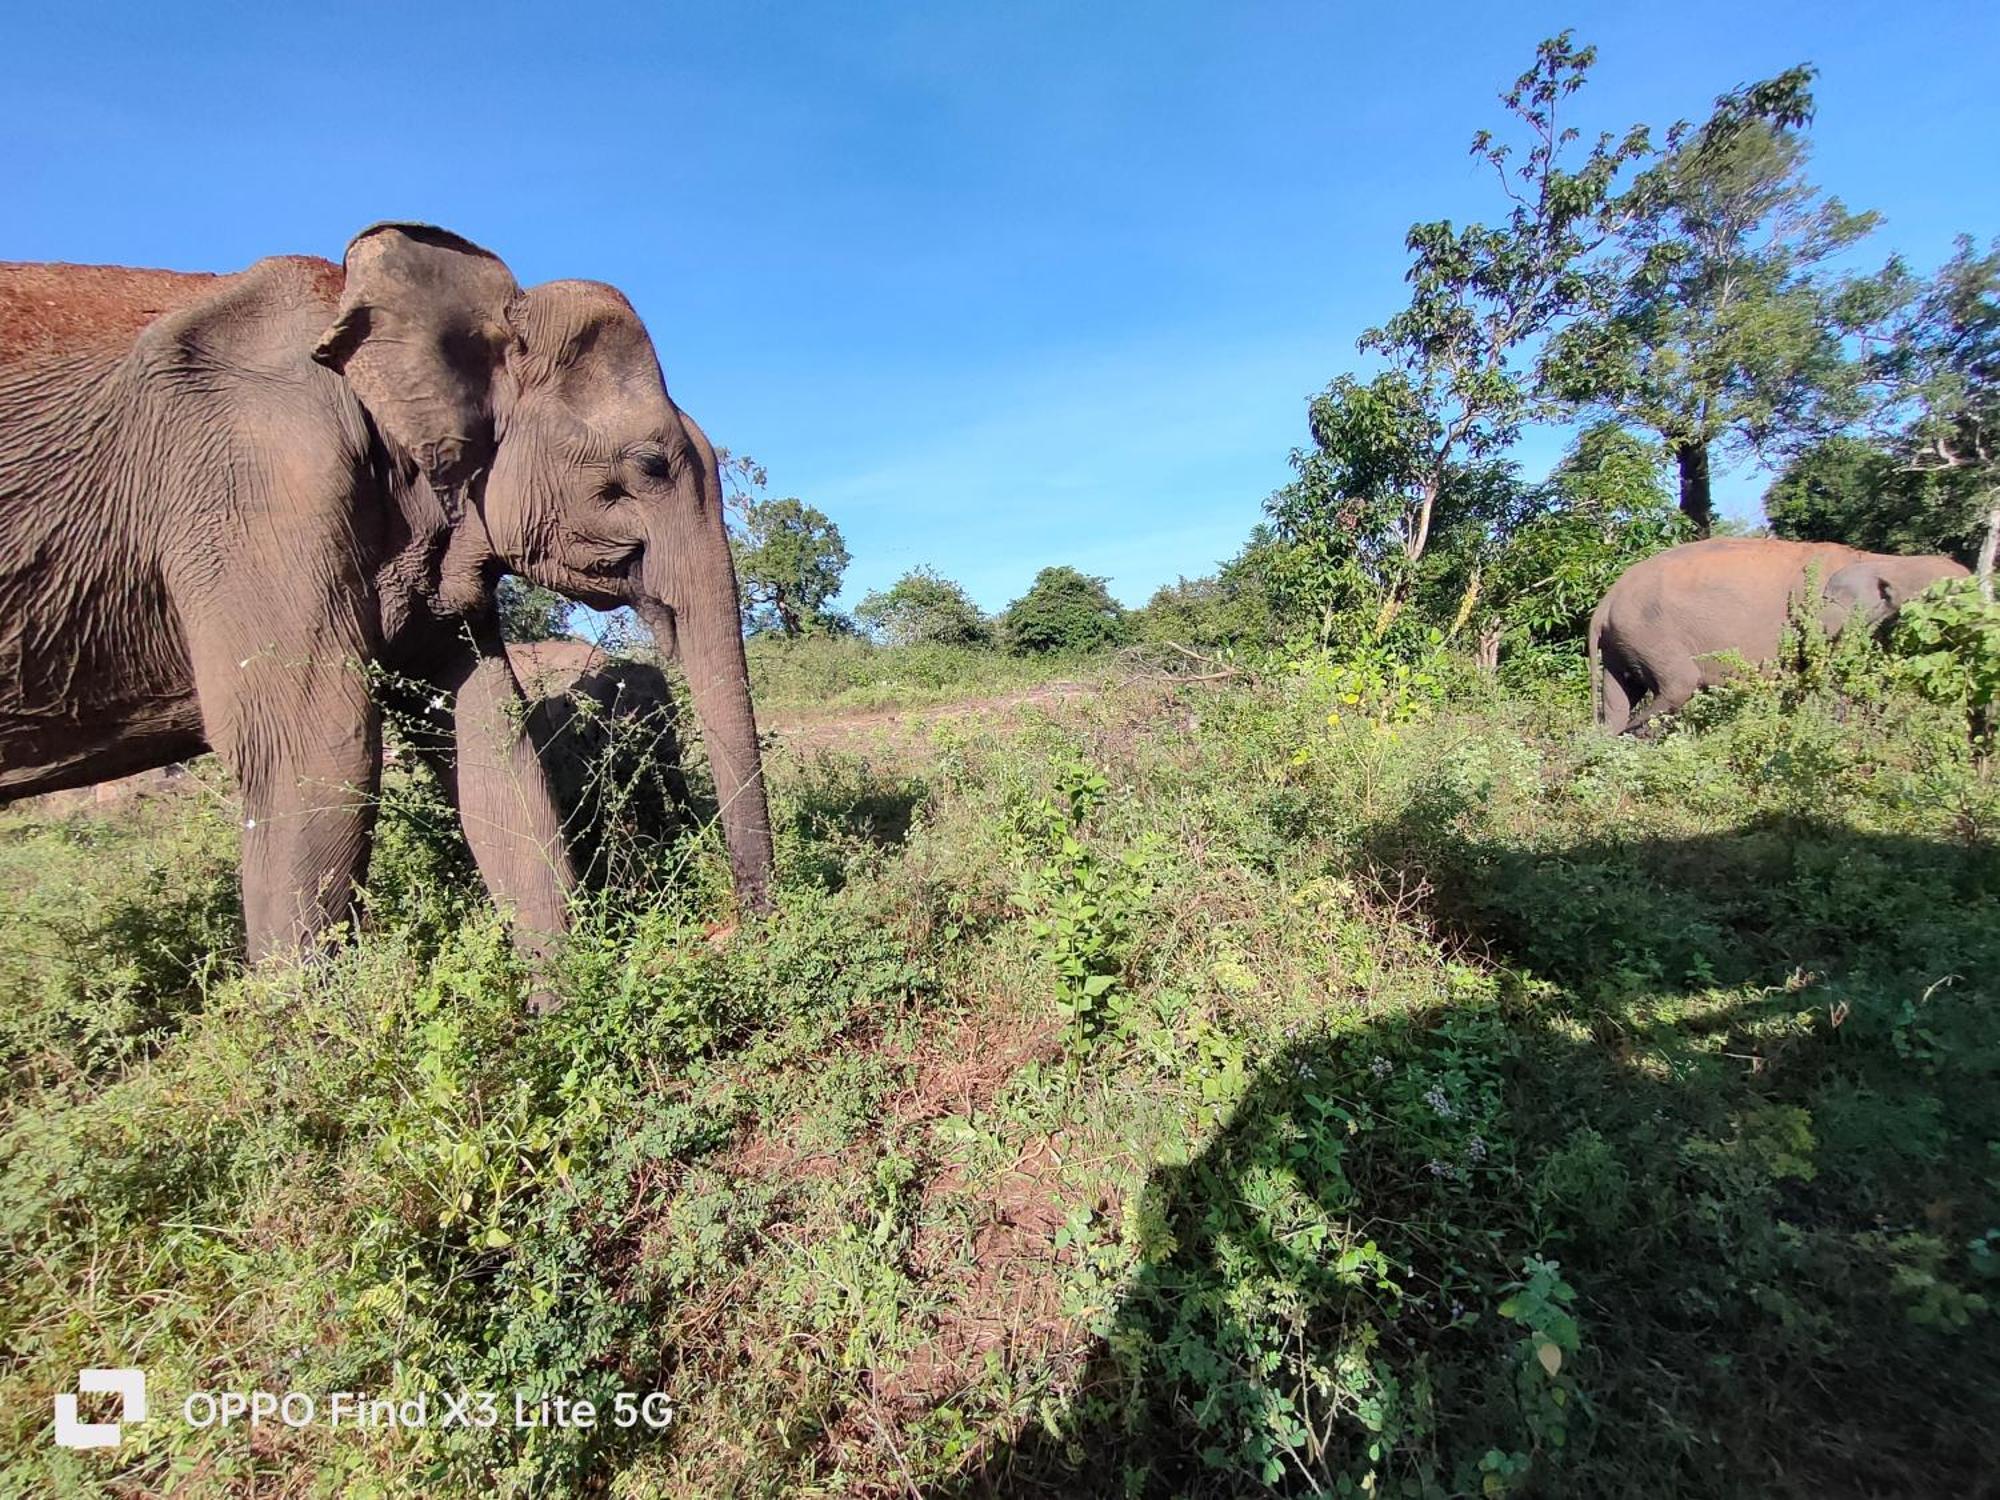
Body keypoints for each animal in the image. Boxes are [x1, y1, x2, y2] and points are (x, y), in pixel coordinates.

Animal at [0, 228, 772, 968]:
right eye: (650, 465)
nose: (735, 931)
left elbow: (489, 736)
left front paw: (562, 995)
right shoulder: (252, 485)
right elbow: (318, 749)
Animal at [1592, 536, 1968, 736]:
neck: (1876, 559)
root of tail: (1607, 600)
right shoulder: (1822, 621)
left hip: (1624, 641)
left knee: (1619, 697)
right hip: (1649, 634)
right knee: (1677, 688)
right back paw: (1634, 734)